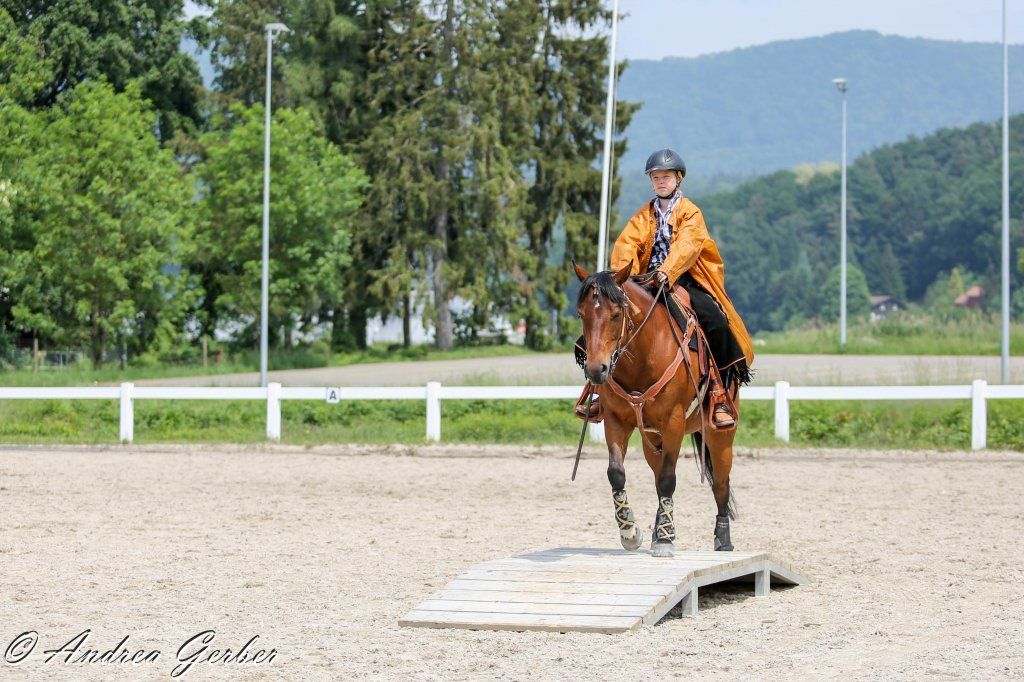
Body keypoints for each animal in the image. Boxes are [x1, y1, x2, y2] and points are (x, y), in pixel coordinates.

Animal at [573, 260, 738, 557]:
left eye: (616, 314)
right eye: (582, 314)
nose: (595, 369)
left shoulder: (673, 421)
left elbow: (668, 479)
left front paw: (664, 539)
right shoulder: (616, 420)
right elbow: (617, 473)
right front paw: (630, 531)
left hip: (720, 436)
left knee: (720, 483)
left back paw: (723, 538)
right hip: (652, 439)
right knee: (658, 474)